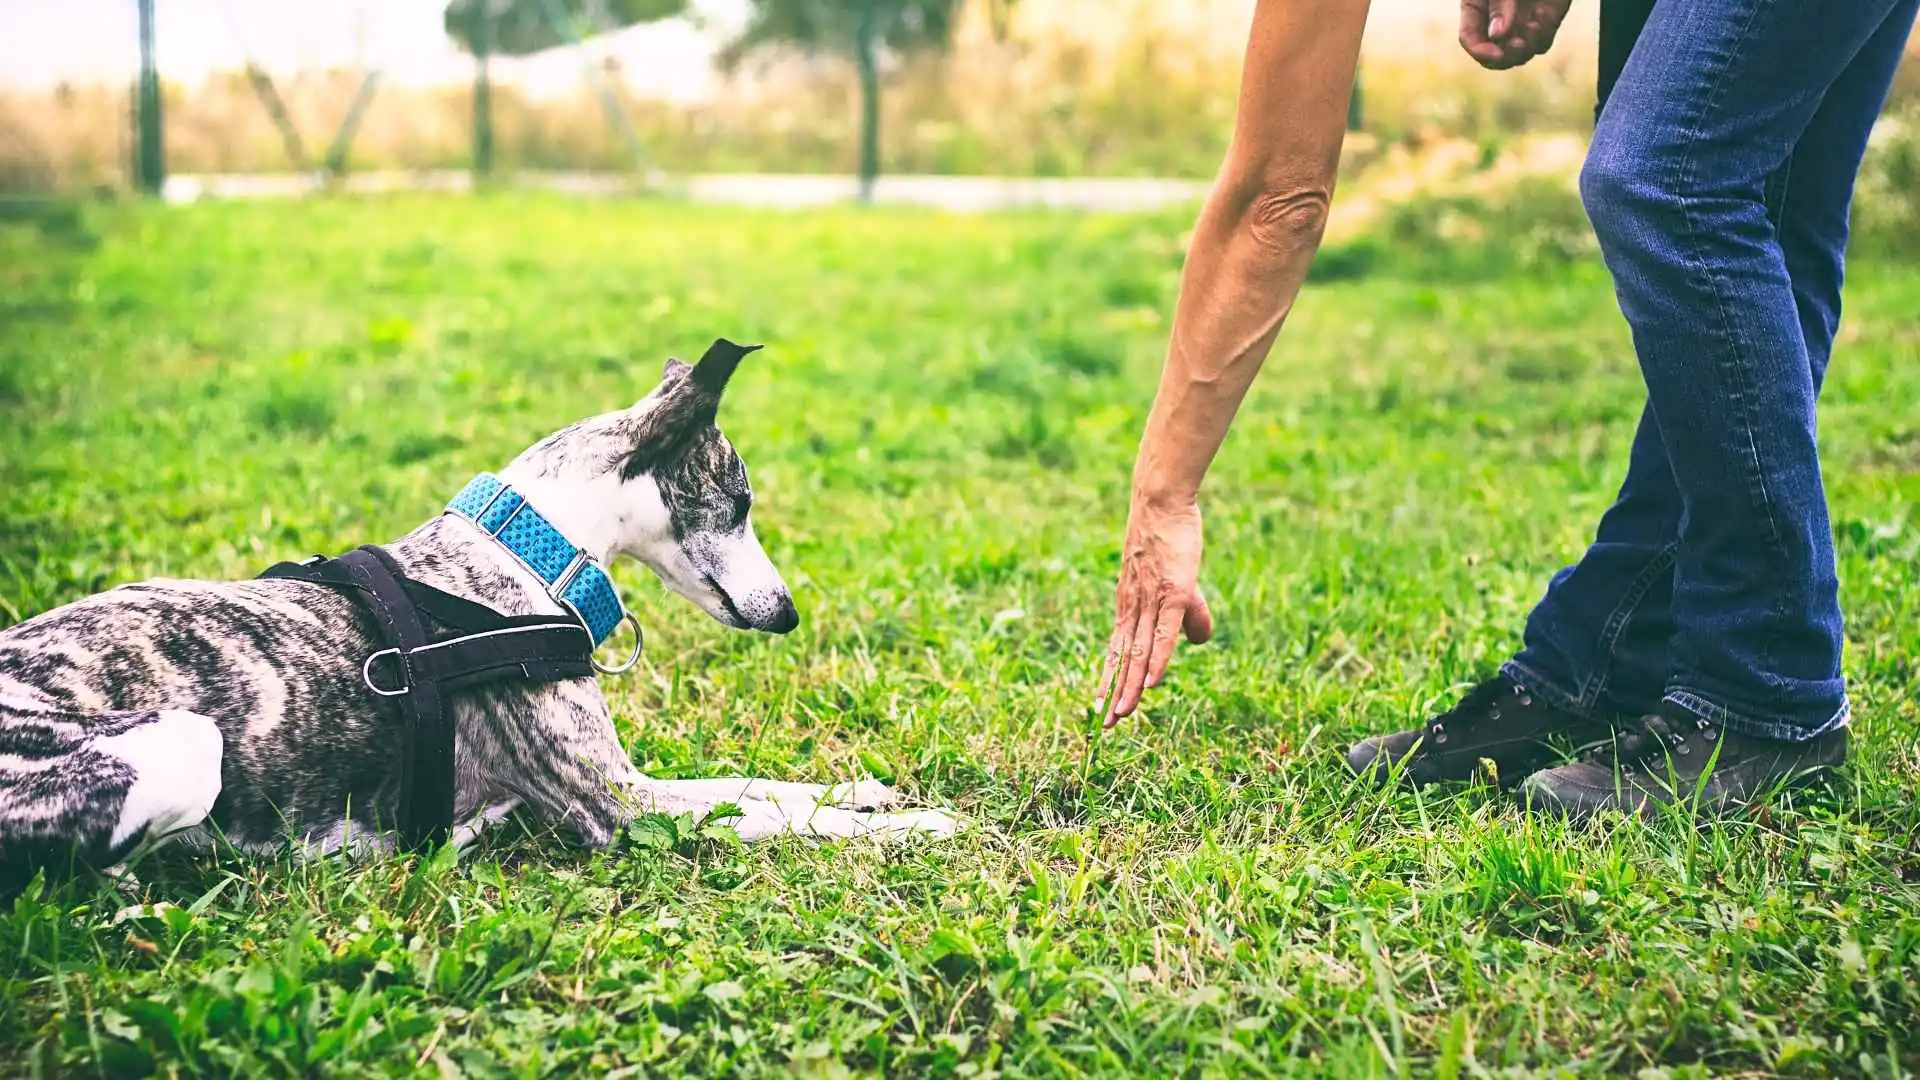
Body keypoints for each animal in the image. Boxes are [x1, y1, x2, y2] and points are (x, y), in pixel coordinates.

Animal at [0, 336, 960, 883]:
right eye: (742, 500)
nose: (788, 613)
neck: (521, 554)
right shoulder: (617, 807)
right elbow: (781, 818)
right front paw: (915, 827)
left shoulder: (635, 782)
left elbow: (753, 784)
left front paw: (867, 791)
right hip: (179, 744)